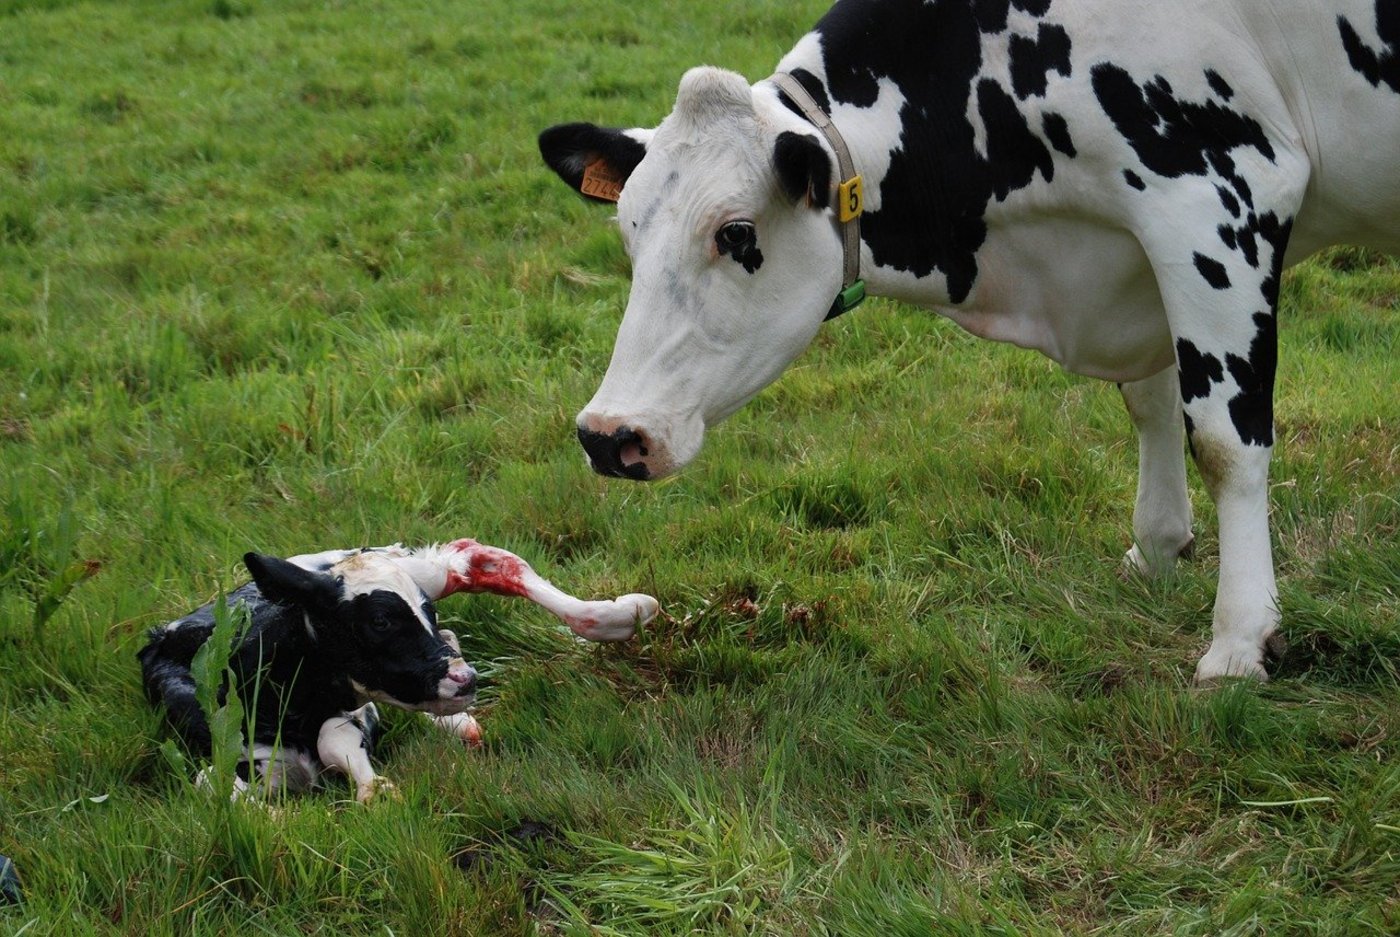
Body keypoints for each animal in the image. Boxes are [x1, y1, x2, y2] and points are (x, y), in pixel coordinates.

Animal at [140, 539, 658, 800]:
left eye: (427, 609)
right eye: (381, 621)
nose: (466, 680)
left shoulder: (353, 712)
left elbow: (335, 737)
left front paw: (374, 788)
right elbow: (213, 783)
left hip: (396, 563)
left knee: (474, 558)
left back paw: (618, 614)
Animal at [538, 0, 1400, 682]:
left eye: (737, 232)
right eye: (628, 230)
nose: (608, 434)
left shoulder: (1215, 196)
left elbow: (1223, 439)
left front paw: (1239, 640)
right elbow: (1151, 402)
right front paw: (1156, 547)